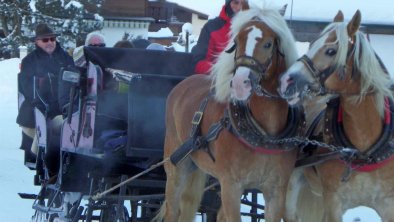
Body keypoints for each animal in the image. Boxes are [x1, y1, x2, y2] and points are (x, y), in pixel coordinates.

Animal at [152, 3, 302, 222]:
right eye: (237, 41)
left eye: (268, 44)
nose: (240, 83)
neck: (265, 134)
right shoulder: (230, 186)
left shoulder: (276, 191)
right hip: (176, 166)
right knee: (173, 211)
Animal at [278, 10, 394, 220]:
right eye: (312, 44)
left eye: (331, 51)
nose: (285, 81)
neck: (361, 152)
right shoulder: (333, 202)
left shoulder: (388, 204)